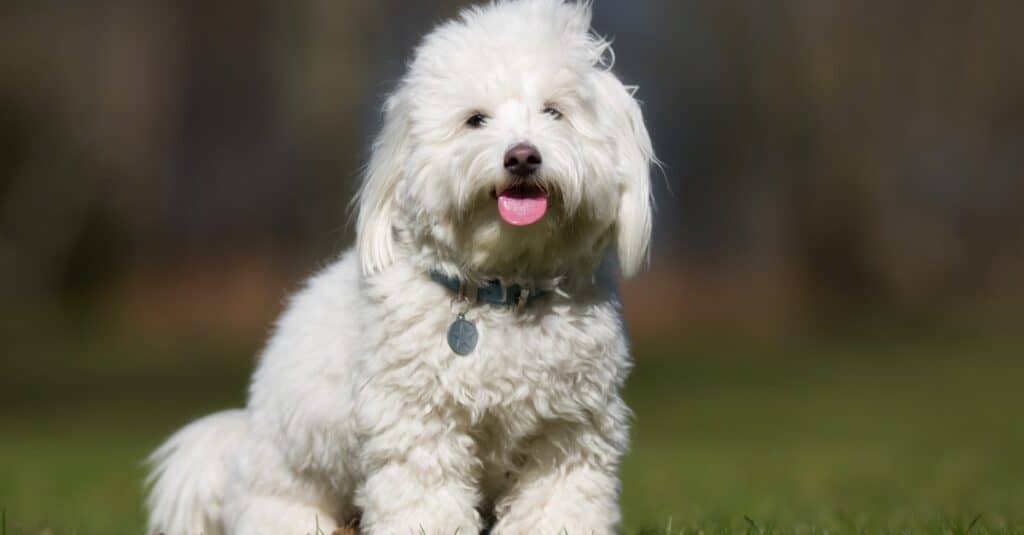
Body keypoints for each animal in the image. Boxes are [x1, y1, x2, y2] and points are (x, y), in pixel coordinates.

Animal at [145, 2, 651, 528]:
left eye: (555, 111)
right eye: (475, 120)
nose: (522, 157)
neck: (504, 291)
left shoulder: (569, 429)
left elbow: (559, 502)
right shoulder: (418, 419)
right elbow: (425, 497)